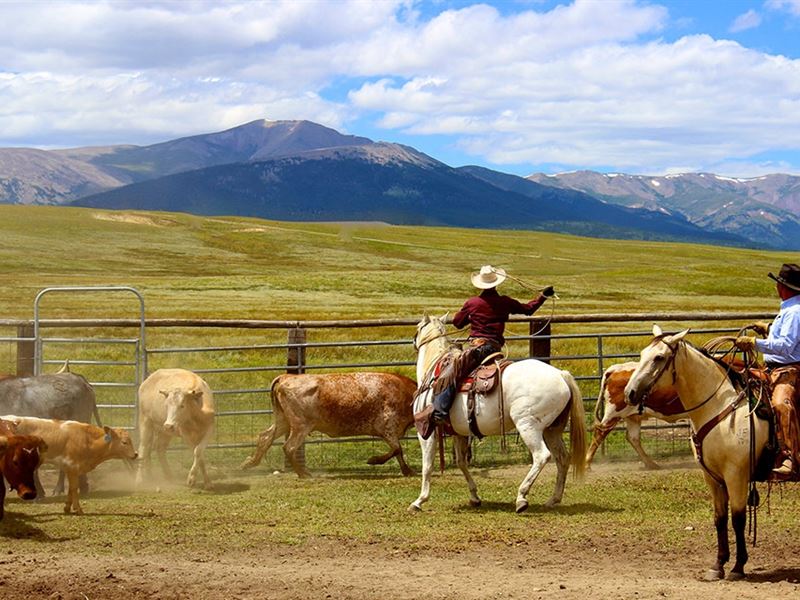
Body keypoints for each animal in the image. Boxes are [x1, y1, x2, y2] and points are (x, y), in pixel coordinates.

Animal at [1, 414, 136, 512]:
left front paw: (67, 507)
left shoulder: (71, 469)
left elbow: (71, 488)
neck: (87, 439)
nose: (135, 454)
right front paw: (78, 509)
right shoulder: (72, 465)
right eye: (124, 442)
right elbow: (74, 488)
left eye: (130, 440)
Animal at [239, 370, 416, 478]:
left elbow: (398, 451)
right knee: (289, 447)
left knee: (265, 437)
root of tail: (286, 377)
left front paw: (407, 470)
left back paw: (249, 463)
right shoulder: (388, 427)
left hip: (283, 422)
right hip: (300, 426)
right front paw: (373, 460)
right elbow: (397, 449)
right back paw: (303, 473)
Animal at [410, 312, 584, 512]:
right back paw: (553, 499)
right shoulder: (459, 433)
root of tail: (561, 375)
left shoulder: (426, 431)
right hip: (552, 429)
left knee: (542, 456)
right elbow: (461, 462)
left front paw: (419, 500)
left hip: (528, 426)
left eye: (418, 327)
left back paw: (521, 497)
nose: (413, 340)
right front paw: (474, 496)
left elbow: (427, 465)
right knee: (562, 458)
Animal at [624, 326, 776, 580]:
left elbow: (738, 518)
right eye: (644, 353)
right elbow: (719, 518)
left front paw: (738, 567)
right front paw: (718, 565)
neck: (719, 409)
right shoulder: (712, 477)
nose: (630, 392)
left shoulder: (736, 475)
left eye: (659, 357)